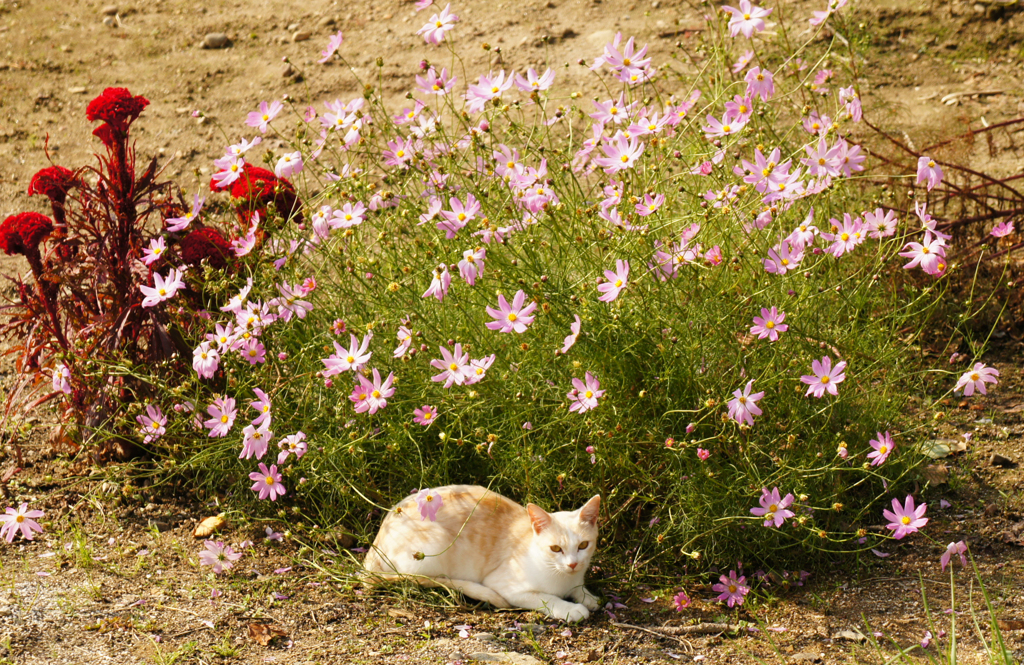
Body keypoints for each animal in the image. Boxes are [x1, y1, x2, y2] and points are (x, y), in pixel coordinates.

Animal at [362, 481, 598, 622]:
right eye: (555, 549)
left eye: (583, 545)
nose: (573, 564)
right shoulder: (506, 586)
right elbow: (544, 598)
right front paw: (570, 609)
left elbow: (580, 589)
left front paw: (588, 597)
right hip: (432, 551)